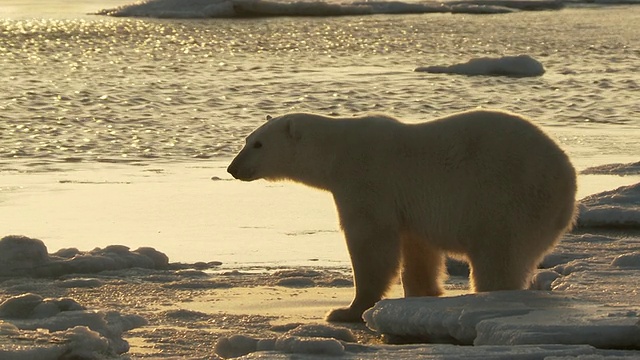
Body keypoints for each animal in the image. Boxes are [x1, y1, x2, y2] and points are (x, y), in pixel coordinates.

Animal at [228, 109, 576, 324]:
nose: (233, 168)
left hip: (507, 202)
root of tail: (567, 181)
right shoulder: (408, 205)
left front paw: (347, 310)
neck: (336, 152)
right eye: (247, 139)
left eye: (258, 144)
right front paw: (422, 295)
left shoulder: (367, 179)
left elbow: (371, 242)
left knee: (497, 257)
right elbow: (417, 248)